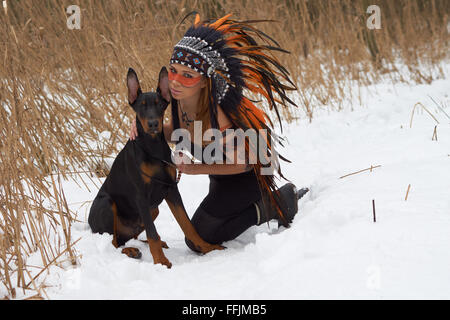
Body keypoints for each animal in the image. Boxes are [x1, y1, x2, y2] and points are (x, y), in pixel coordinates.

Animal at [87, 67, 223, 268]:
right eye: (141, 106)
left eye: (160, 105)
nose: (153, 124)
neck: (153, 148)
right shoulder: (141, 196)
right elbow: (152, 233)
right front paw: (160, 261)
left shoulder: (171, 189)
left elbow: (187, 225)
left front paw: (206, 247)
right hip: (107, 204)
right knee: (113, 243)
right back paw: (131, 251)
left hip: (153, 209)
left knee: (129, 237)